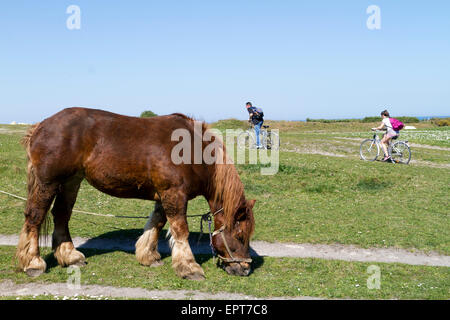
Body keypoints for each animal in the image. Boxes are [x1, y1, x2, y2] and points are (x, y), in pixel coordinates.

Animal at [15, 107, 255, 280]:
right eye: (240, 236)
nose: (245, 269)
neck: (192, 149)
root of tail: (40, 126)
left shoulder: (164, 195)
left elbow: (157, 223)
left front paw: (148, 255)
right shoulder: (174, 194)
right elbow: (180, 230)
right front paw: (189, 267)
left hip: (71, 182)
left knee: (61, 216)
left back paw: (70, 256)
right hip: (48, 183)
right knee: (35, 217)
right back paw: (33, 263)